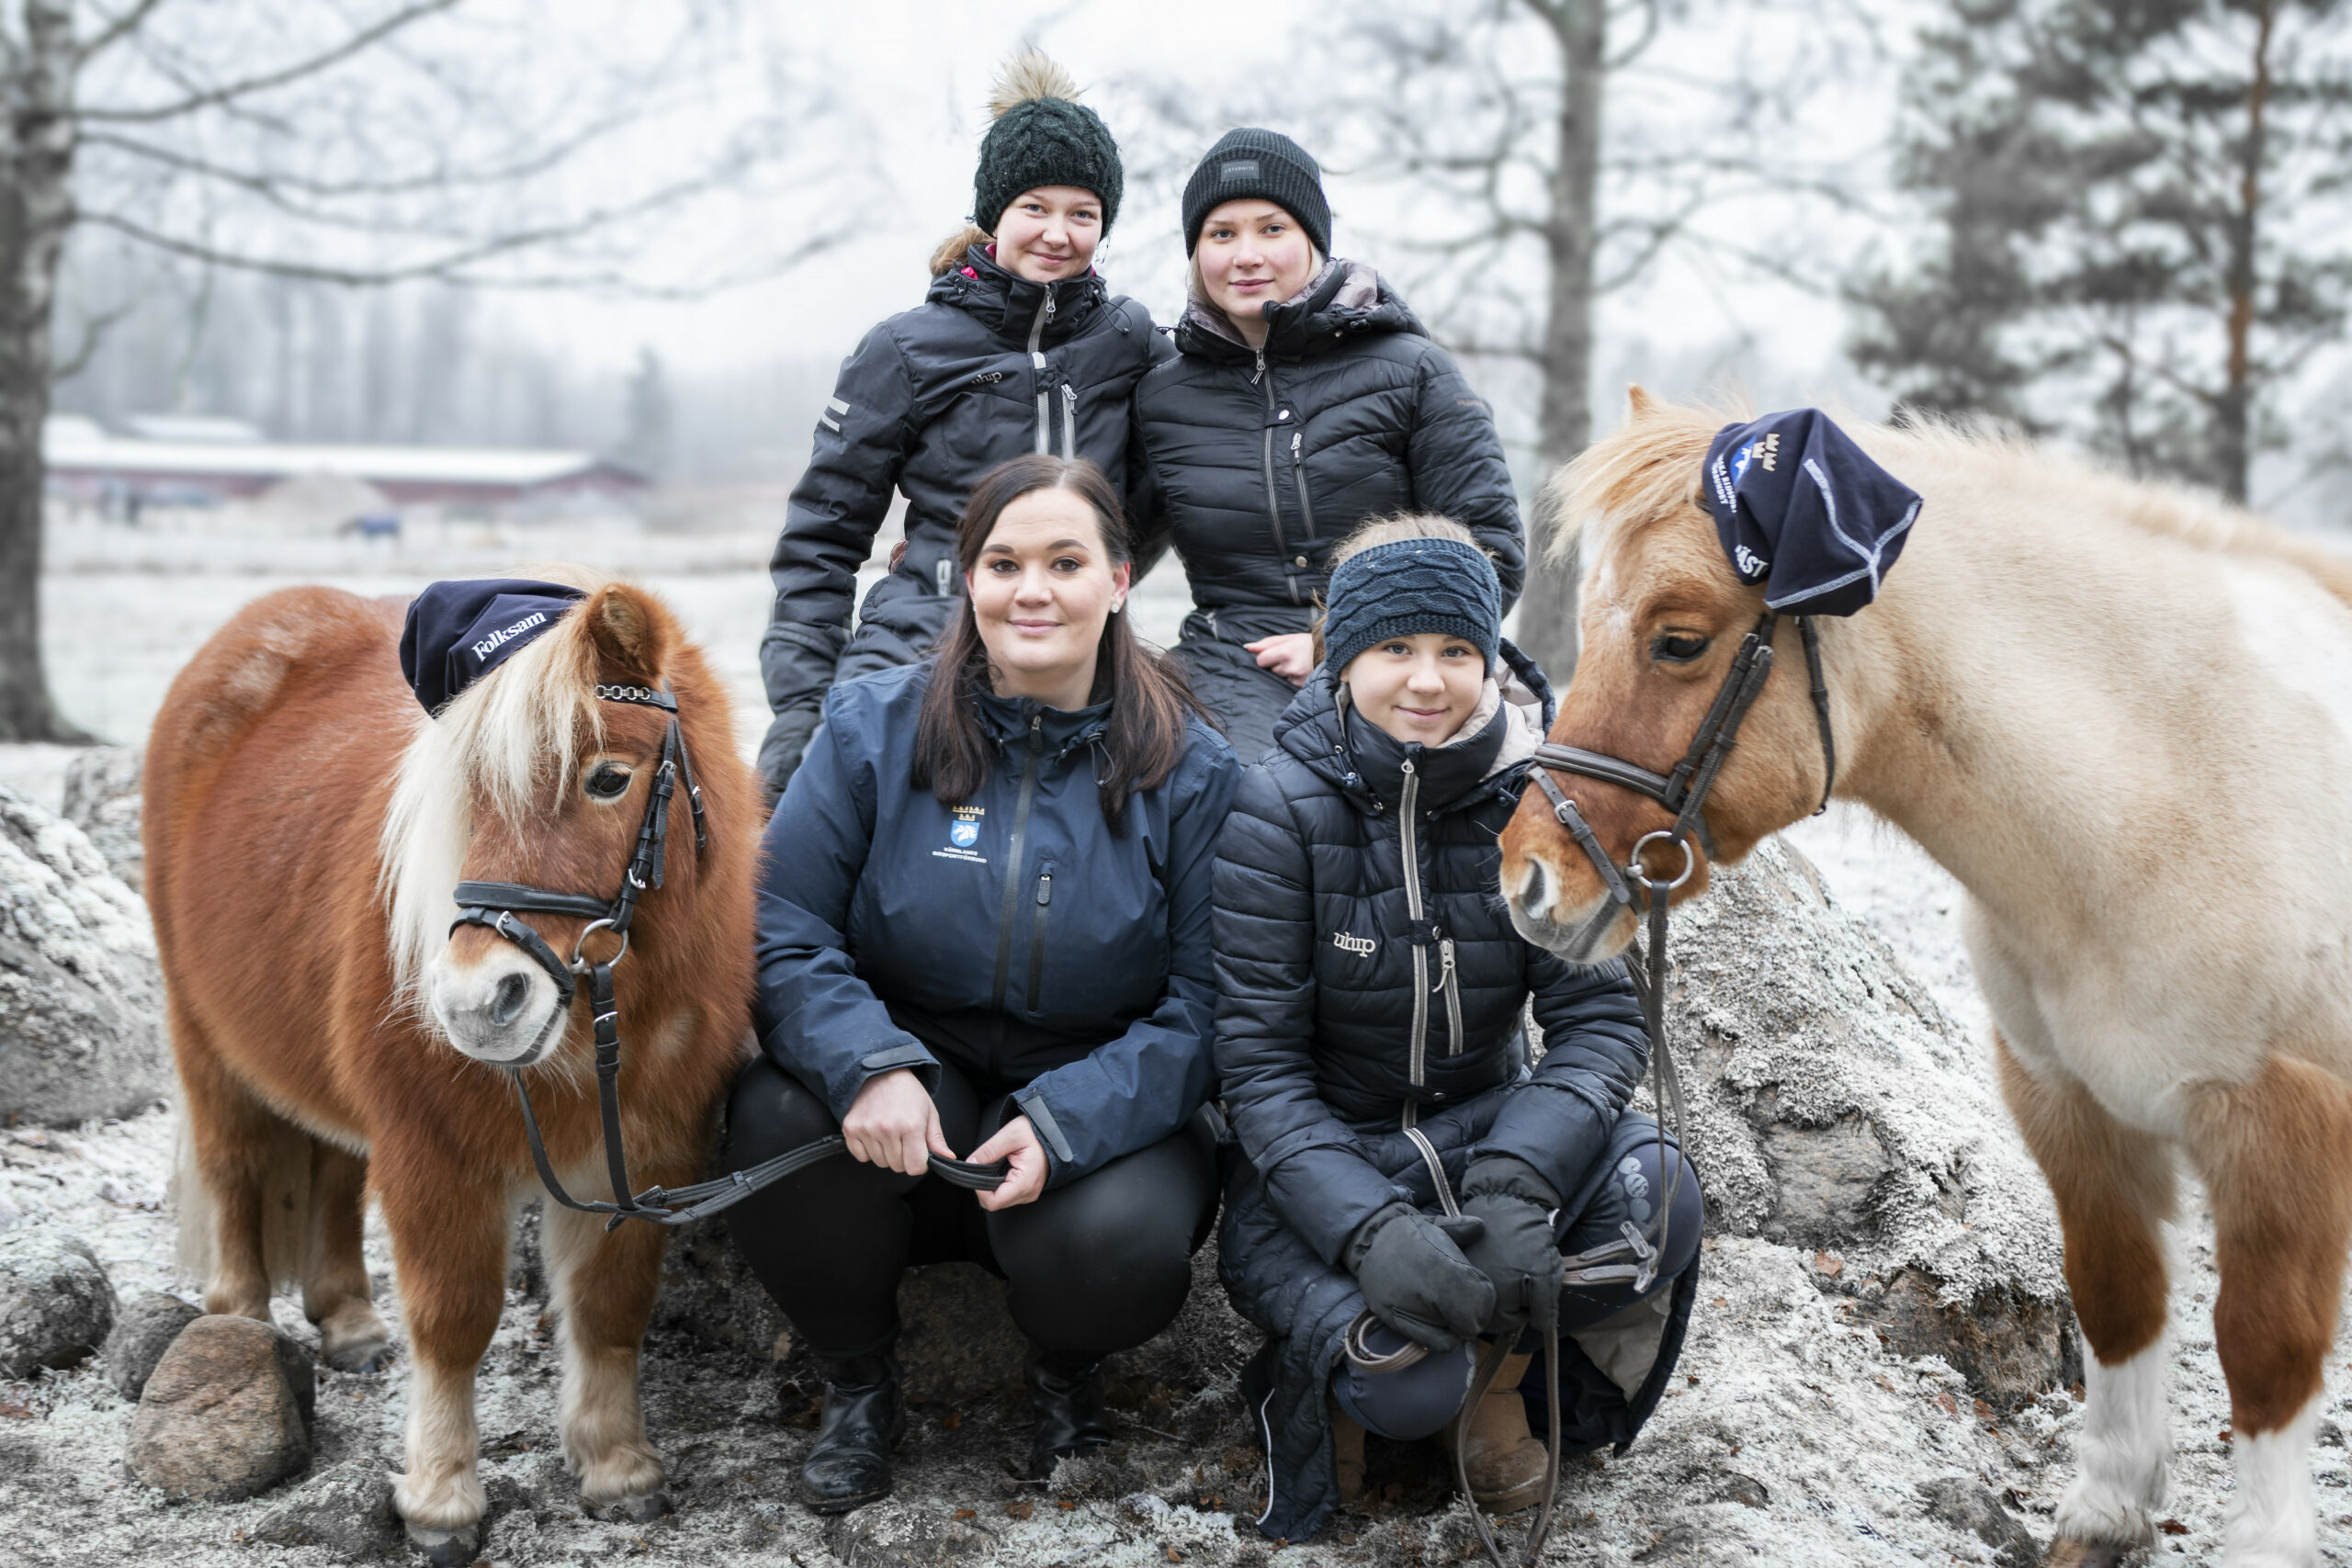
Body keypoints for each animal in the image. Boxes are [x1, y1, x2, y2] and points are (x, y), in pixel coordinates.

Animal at [144, 576, 752, 1561]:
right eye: (469, 793)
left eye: (608, 776)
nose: (478, 1001)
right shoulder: (434, 1156)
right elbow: (454, 1320)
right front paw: (440, 1500)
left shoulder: (638, 1163)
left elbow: (610, 1309)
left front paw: (617, 1468)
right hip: (207, 1042)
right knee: (234, 1162)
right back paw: (238, 1318)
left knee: (332, 1170)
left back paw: (350, 1323)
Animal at [1496, 392, 2352, 1568]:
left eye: (1678, 641)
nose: (1528, 880)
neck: (2183, 793)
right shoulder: (2065, 1103)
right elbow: (2118, 1297)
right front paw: (2105, 1511)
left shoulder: (2280, 1128)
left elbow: (2264, 1351)